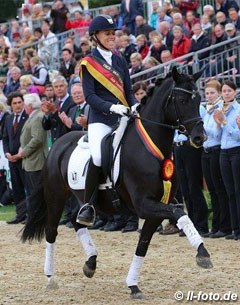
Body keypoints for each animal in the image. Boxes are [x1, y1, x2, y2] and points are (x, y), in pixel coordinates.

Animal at [20, 67, 212, 298]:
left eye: (199, 99)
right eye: (182, 100)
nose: (200, 137)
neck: (150, 148)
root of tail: (58, 143)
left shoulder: (156, 207)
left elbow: (144, 244)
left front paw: (133, 285)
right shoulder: (144, 204)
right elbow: (179, 213)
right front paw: (203, 253)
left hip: (80, 198)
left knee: (77, 220)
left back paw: (91, 263)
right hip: (55, 196)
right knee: (51, 231)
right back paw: (50, 278)